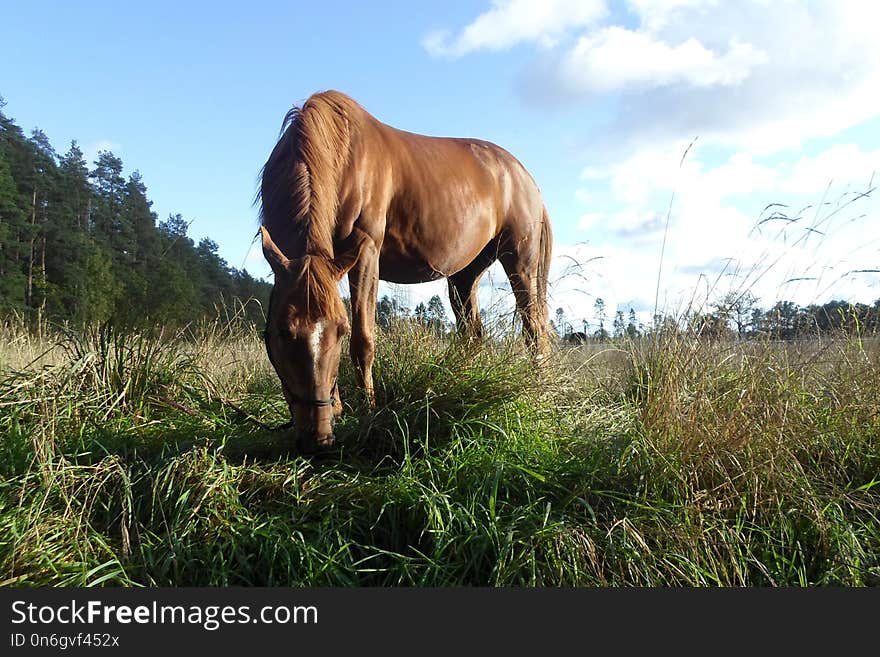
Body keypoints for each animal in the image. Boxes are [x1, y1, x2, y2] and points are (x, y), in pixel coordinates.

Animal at [258, 91, 552, 452]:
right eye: (283, 332)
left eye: (340, 330)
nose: (318, 438)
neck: (339, 153)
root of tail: (524, 175)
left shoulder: (366, 252)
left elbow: (364, 341)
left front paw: (368, 412)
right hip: (464, 275)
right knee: (473, 335)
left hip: (520, 263)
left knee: (534, 331)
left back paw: (540, 395)